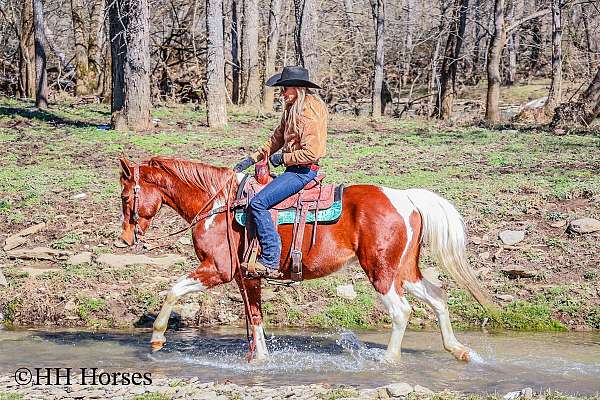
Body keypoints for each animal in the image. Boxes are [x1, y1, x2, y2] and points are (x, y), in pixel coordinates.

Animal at [118, 156, 492, 362]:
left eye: (124, 196)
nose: (125, 239)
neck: (219, 205)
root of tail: (405, 198)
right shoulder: (246, 276)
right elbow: (255, 318)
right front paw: (260, 361)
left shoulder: (218, 270)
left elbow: (173, 289)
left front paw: (157, 336)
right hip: (405, 271)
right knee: (438, 297)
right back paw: (457, 349)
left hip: (382, 273)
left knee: (402, 312)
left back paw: (389, 360)